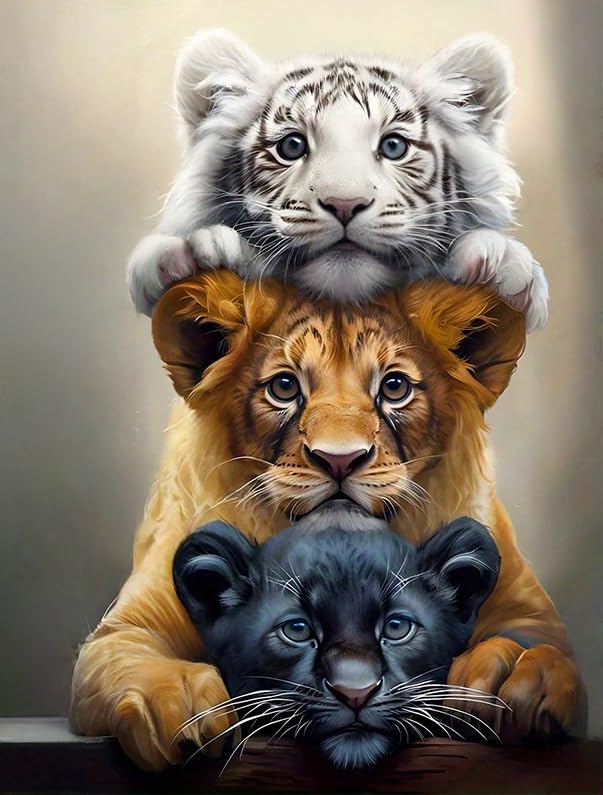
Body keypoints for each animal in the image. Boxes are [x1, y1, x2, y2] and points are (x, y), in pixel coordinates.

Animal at [70, 271, 583, 771]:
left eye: (394, 387)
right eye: (284, 387)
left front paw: (515, 673)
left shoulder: (525, 608)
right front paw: (178, 702)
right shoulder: (128, 626)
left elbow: (542, 645)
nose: (339, 460)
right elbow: (131, 656)